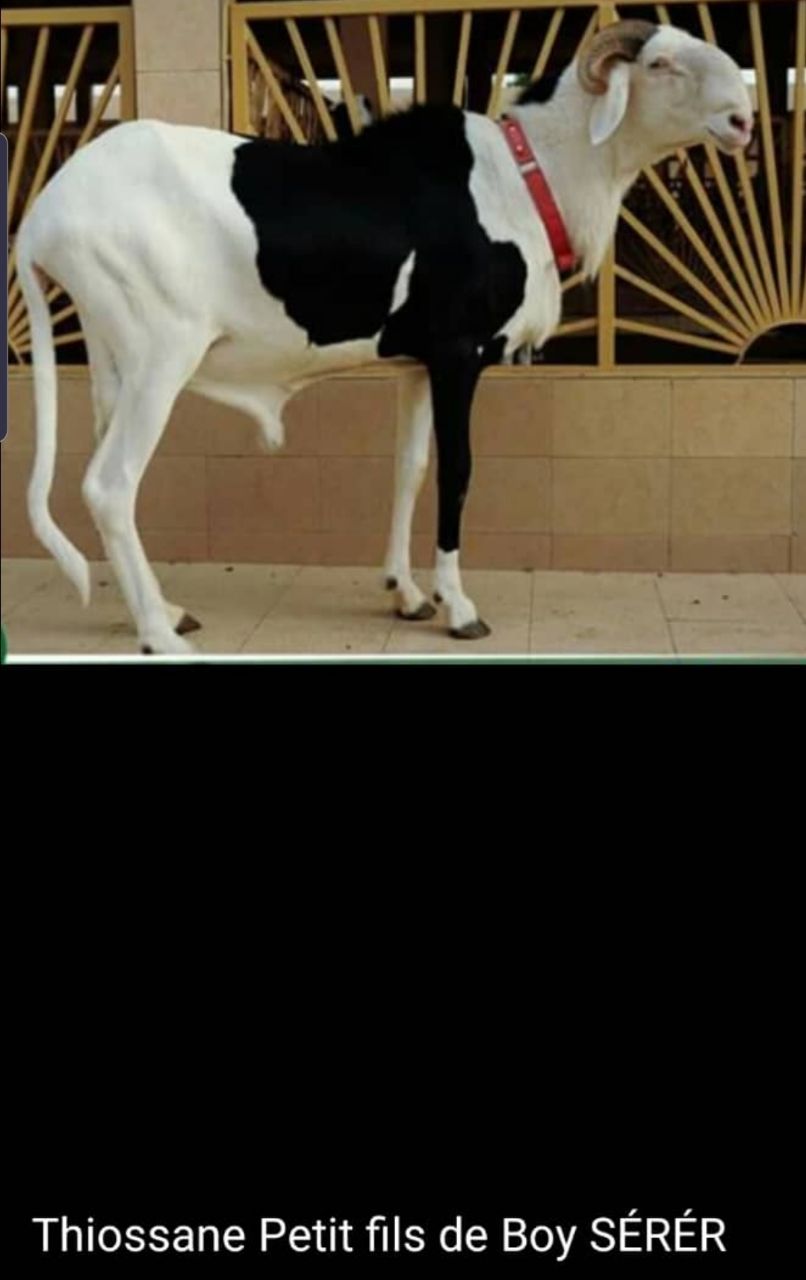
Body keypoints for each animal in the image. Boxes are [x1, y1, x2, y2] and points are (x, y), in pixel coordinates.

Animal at [17, 21, 753, 653]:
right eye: (660, 63)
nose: (743, 118)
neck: (523, 177)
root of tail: (43, 214)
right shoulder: (460, 353)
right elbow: (457, 471)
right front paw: (458, 606)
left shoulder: (416, 364)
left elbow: (410, 469)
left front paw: (407, 593)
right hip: (160, 357)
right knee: (111, 485)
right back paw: (157, 633)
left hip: (114, 361)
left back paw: (163, 609)